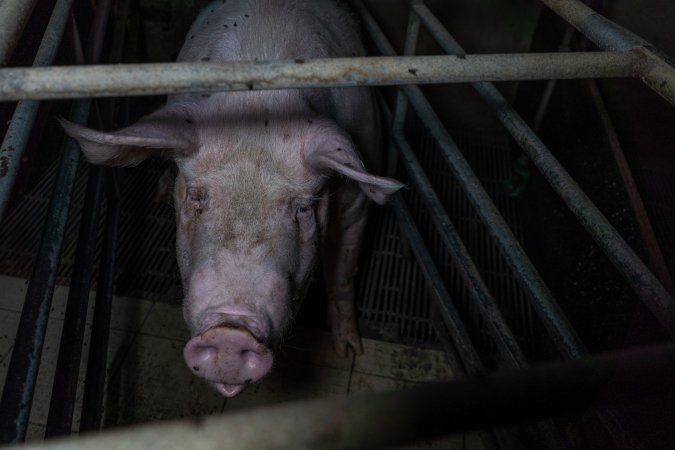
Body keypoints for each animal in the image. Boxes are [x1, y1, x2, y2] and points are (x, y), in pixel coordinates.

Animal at [60, 0, 402, 396]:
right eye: (196, 198)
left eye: (302, 208)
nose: (230, 332)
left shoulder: (356, 204)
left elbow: (343, 272)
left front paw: (348, 351)